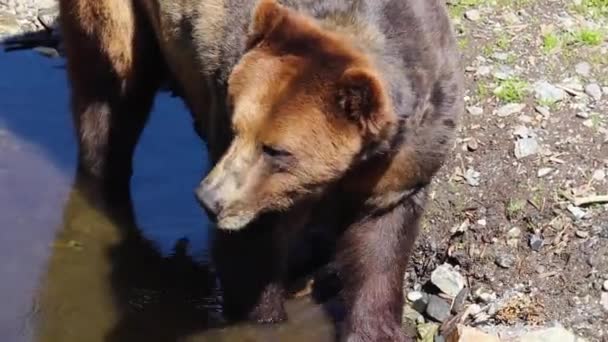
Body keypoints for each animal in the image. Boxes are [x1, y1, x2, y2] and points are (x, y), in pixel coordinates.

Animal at [59, 0, 464, 342]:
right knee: (110, 95)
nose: (209, 199)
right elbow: (251, 252)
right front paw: (263, 317)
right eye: (237, 127)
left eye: (276, 149)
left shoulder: (405, 157)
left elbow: (381, 245)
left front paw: (374, 328)